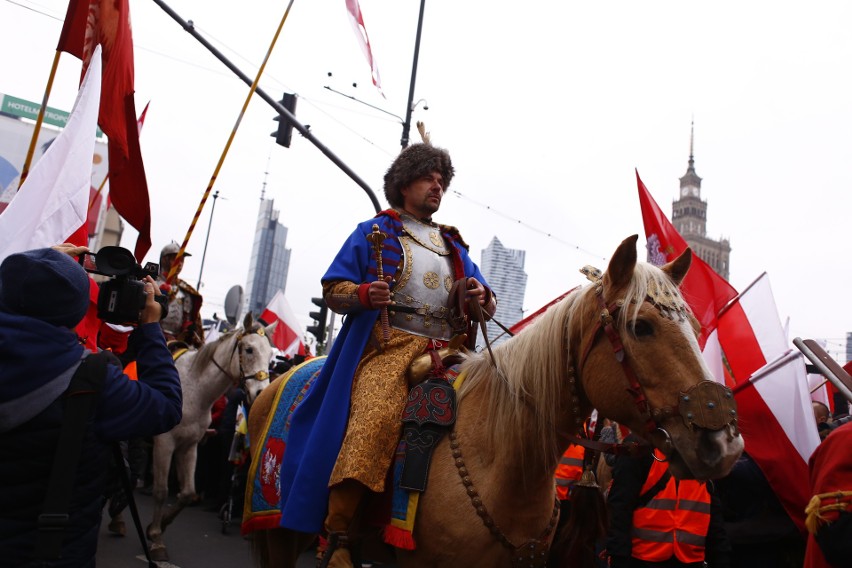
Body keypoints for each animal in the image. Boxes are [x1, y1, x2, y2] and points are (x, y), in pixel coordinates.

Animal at [146, 312, 276, 560]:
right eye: (249, 349)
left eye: (271, 357)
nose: (260, 394)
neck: (193, 388)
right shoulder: (164, 443)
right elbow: (160, 490)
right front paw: (156, 539)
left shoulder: (189, 445)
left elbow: (188, 493)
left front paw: (160, 525)